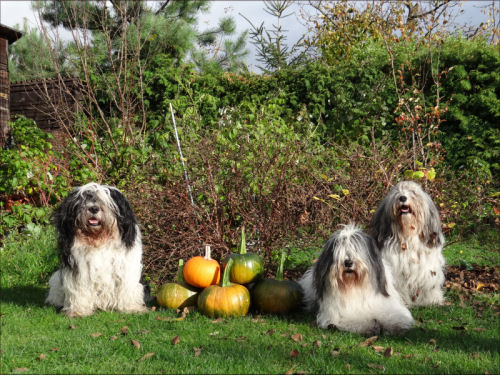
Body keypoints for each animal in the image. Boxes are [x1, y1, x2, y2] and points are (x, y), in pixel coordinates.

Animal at [45, 182, 147, 318]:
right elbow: (80, 290)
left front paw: (131, 308)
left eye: (106, 201)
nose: (93, 208)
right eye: (84, 200)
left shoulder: (125, 269)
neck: (98, 241)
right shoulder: (79, 270)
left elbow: (126, 288)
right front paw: (78, 311)